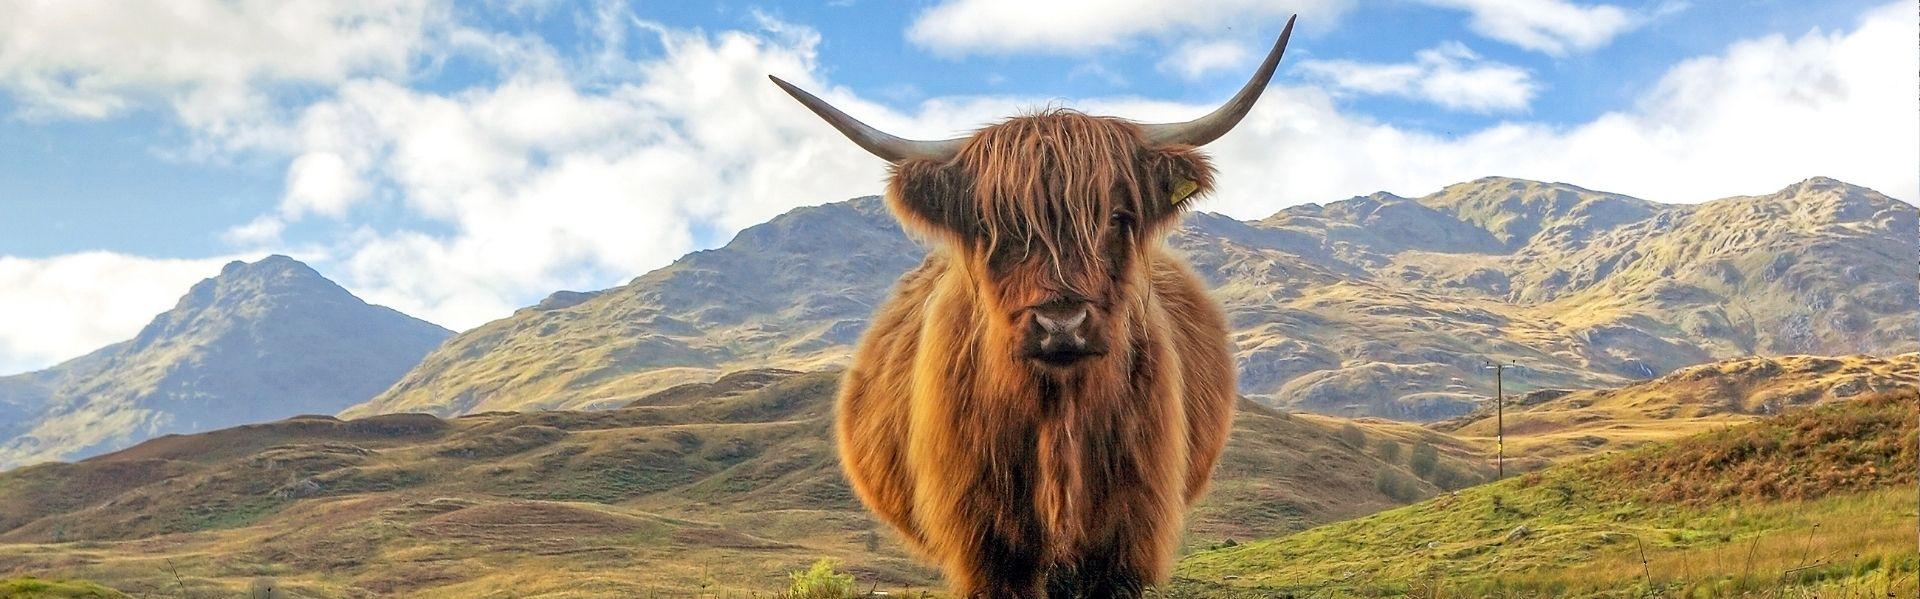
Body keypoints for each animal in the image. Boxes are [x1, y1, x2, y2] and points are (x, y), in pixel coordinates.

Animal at [770, 17, 1294, 598]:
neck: (1056, 414)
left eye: (1117, 217)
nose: (1061, 325)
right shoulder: (986, 546)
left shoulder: (1127, 539)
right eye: (989, 225)